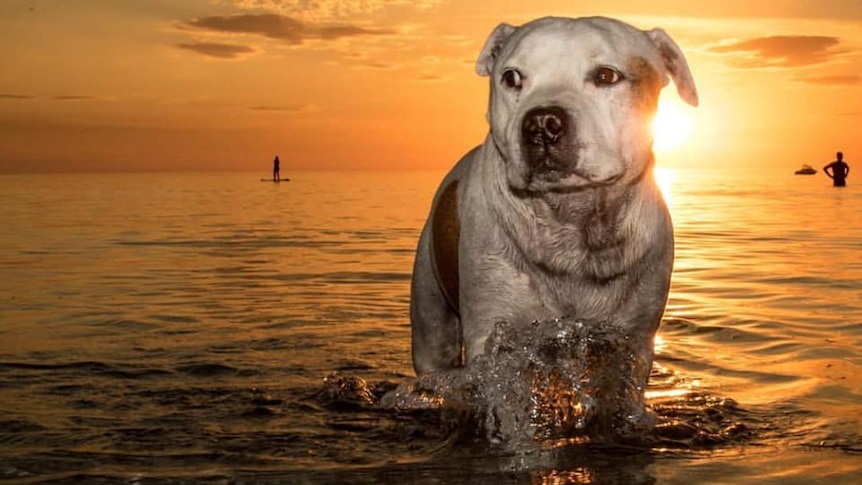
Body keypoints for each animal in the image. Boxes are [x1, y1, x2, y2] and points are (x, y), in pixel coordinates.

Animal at [408, 16, 700, 374]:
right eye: (511, 77)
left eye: (606, 76)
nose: (542, 122)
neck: (571, 218)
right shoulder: (491, 330)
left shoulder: (633, 339)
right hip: (431, 319)